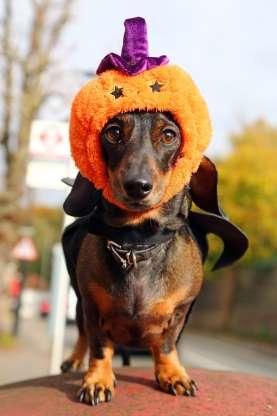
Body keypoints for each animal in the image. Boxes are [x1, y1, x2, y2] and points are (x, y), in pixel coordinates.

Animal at [59, 110, 246, 406]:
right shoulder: (91, 306)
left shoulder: (181, 310)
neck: (137, 241)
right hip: (78, 304)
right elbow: (99, 345)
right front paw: (97, 380)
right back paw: (75, 360)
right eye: (113, 132)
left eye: (169, 135)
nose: (137, 186)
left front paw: (172, 374)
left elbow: (167, 345)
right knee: (82, 333)